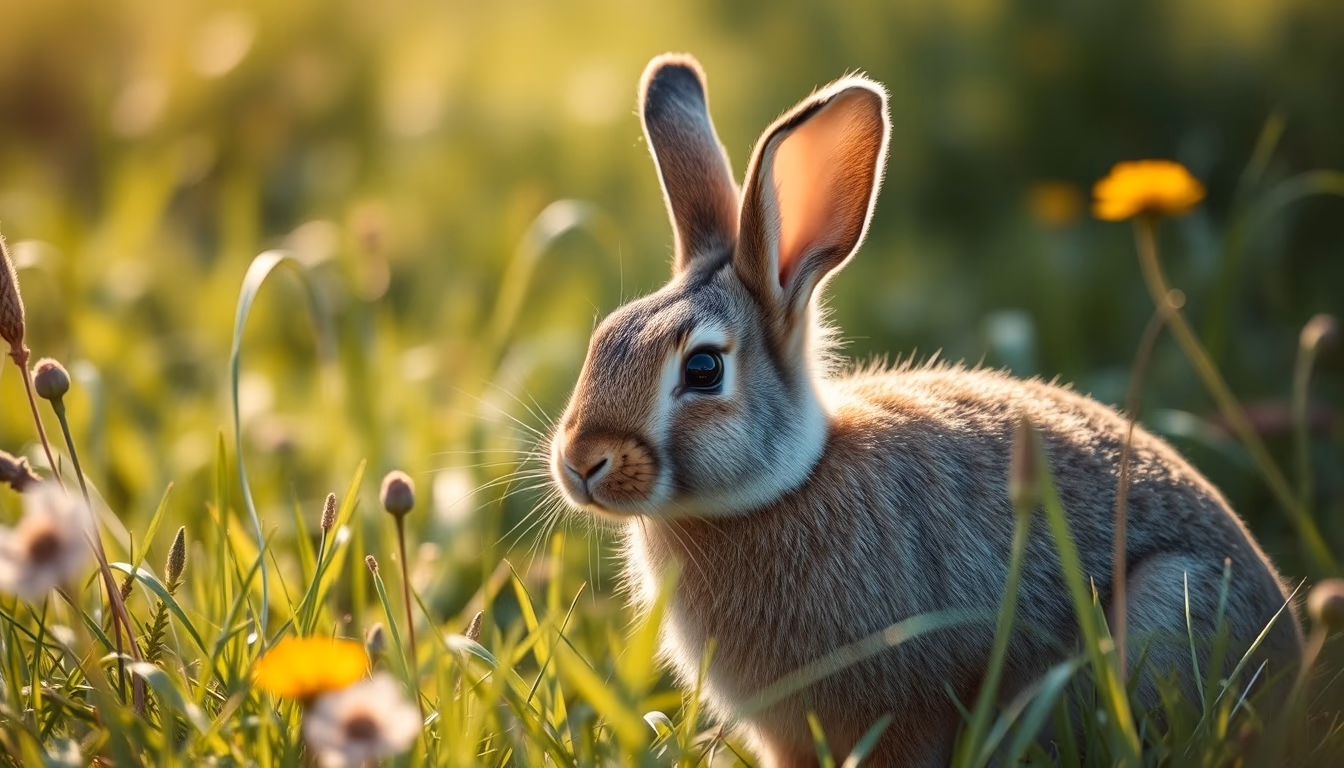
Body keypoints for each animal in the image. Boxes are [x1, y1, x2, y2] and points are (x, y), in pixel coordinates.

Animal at [547, 53, 1303, 767]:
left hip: (1170, 604)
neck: (779, 489)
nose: (581, 462)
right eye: (604, 336)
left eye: (703, 369)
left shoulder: (906, 709)